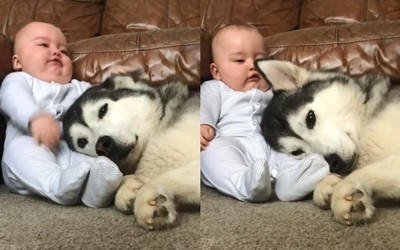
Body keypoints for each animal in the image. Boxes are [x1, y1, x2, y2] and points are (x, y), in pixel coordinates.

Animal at [63, 76, 200, 230]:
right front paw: (129, 187)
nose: (102, 145)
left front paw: (146, 193)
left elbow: (164, 176)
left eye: (103, 110)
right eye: (82, 142)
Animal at [255, 59, 400, 226]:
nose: (333, 162)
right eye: (297, 152)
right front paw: (328, 184)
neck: (365, 115)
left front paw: (343, 189)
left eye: (310, 118)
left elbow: (362, 172)